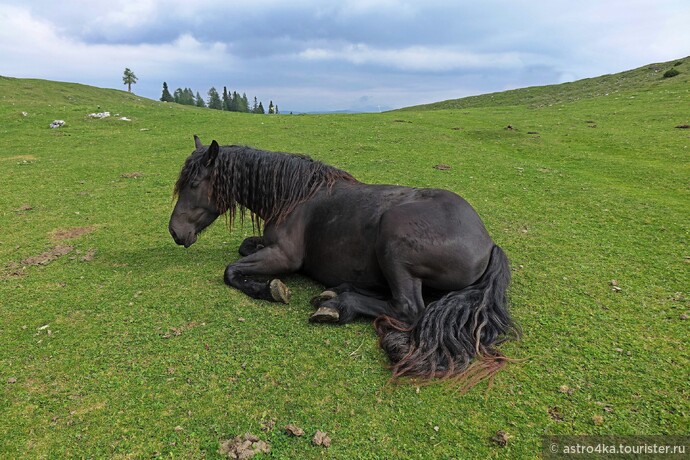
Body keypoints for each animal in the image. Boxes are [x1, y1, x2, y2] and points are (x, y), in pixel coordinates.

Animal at [171, 135, 516, 386]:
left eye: (193, 184)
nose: (175, 231)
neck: (294, 197)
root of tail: (488, 243)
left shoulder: (284, 256)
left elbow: (230, 271)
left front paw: (268, 289)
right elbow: (243, 248)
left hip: (393, 240)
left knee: (407, 307)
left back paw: (338, 305)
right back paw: (339, 291)